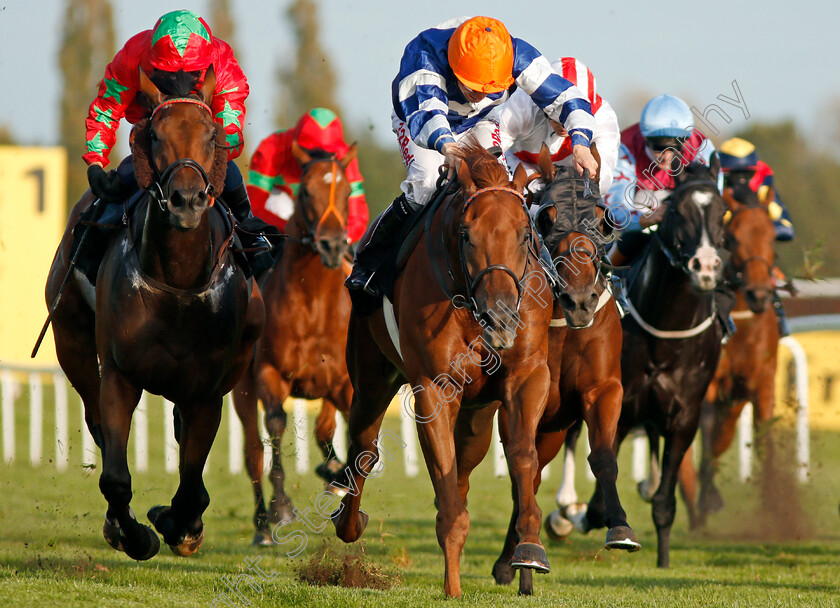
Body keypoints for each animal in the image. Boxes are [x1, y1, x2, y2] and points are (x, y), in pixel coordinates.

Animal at [46, 67, 262, 560]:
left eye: (211, 134)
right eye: (157, 135)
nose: (187, 200)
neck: (179, 285)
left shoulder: (206, 391)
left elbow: (191, 484)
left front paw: (180, 525)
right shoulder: (120, 375)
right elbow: (115, 475)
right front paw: (134, 534)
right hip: (72, 342)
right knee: (95, 419)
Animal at [233, 144, 358, 548]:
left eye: (346, 192)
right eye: (305, 192)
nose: (332, 245)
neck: (314, 303)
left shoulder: (343, 382)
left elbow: (340, 431)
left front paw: (339, 477)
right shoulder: (269, 374)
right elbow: (275, 424)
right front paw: (282, 507)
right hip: (241, 389)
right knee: (253, 452)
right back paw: (262, 525)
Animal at [332, 141, 556, 600]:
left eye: (525, 235)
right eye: (467, 235)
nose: (501, 318)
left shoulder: (528, 376)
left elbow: (523, 456)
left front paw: (529, 548)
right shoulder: (434, 388)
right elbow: (447, 489)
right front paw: (453, 585)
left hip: (477, 414)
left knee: (466, 462)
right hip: (370, 377)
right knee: (363, 449)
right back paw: (349, 522)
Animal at [492, 154, 636, 596]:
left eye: (603, 220)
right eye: (545, 217)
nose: (579, 300)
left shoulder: (603, 389)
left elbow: (604, 455)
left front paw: (619, 526)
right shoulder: (520, 401)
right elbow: (521, 471)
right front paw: (522, 558)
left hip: (554, 430)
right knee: (525, 479)